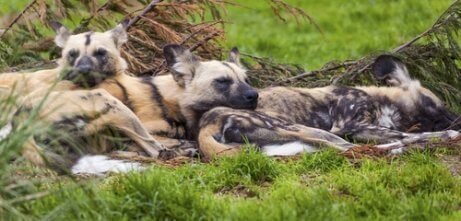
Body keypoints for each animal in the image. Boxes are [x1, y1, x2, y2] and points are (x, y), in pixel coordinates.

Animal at [198, 55, 460, 159]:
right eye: (438, 105)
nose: (456, 118)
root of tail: (207, 123)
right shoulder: (350, 126)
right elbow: (410, 133)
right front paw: (447, 134)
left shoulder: (362, 128)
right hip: (306, 130)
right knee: (350, 149)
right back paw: (413, 147)